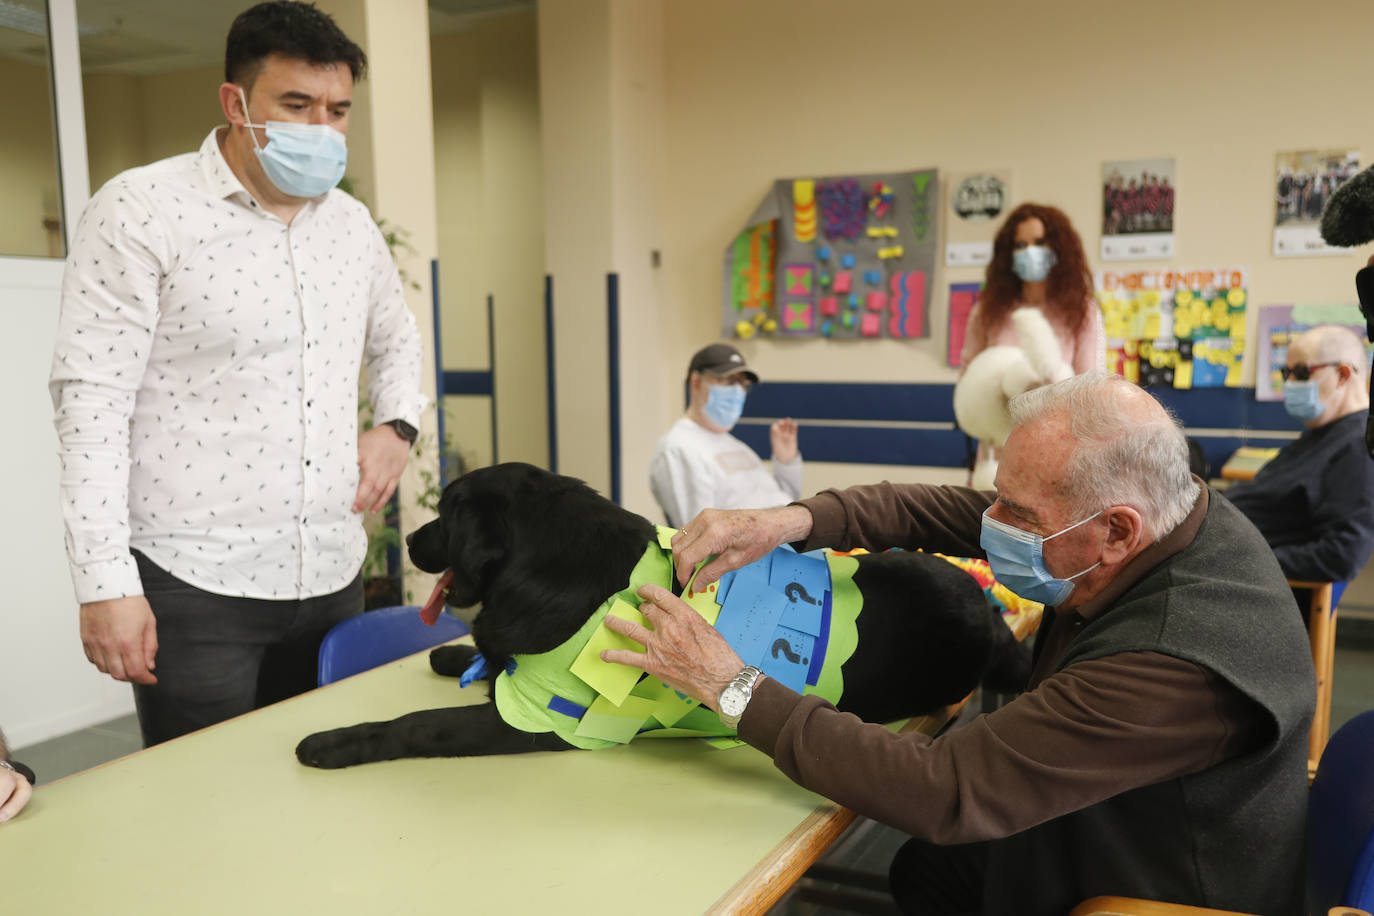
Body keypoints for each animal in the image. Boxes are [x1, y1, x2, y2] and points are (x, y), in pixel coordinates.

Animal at [300, 461, 1033, 769]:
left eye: (446, 511)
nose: (407, 542)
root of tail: (991, 609)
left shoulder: (535, 720)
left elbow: (418, 724)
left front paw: (335, 742)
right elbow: (483, 656)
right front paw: (458, 654)